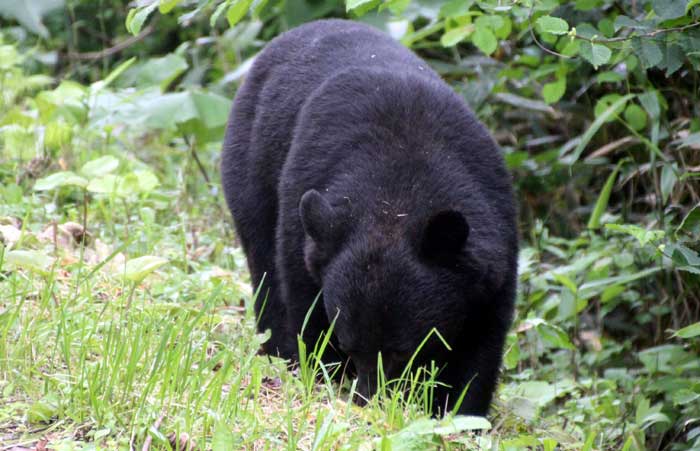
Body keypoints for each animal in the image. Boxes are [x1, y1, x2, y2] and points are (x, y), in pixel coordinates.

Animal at [221, 18, 516, 416]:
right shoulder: (307, 215)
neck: (395, 198)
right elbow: (303, 302)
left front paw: (458, 411)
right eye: (349, 346)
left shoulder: (491, 248)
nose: (368, 402)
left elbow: (480, 345)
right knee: (264, 264)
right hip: (248, 172)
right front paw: (320, 375)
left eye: (403, 351)